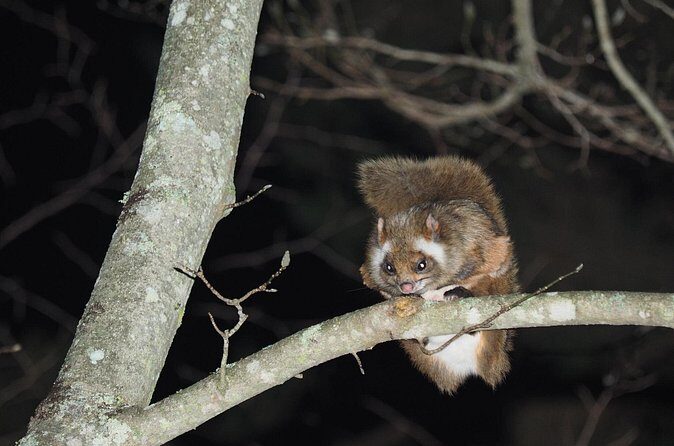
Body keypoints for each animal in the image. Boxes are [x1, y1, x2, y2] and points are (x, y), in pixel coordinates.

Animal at [357, 156, 519, 394]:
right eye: (389, 268)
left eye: (421, 265)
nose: (406, 287)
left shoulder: (483, 247)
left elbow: (489, 263)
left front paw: (438, 291)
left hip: (498, 290)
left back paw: (459, 296)